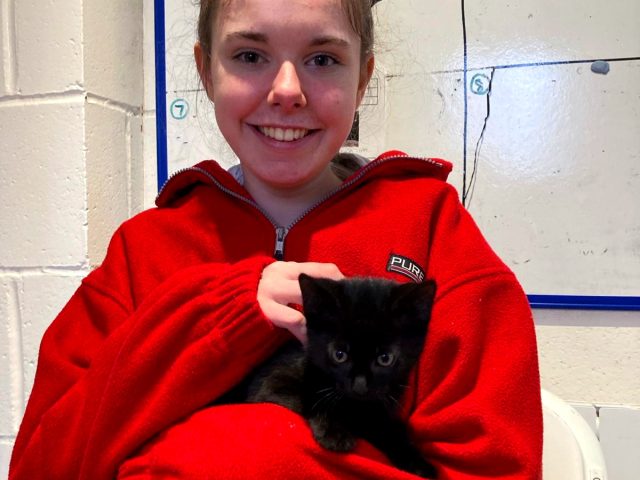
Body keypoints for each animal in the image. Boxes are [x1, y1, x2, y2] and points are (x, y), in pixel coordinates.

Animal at [242, 276, 438, 478]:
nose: (360, 386)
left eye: (385, 358)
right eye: (339, 355)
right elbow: (313, 401)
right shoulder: (272, 383)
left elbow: (385, 426)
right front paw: (335, 433)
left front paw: (416, 461)